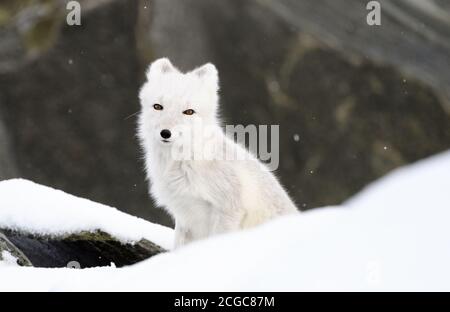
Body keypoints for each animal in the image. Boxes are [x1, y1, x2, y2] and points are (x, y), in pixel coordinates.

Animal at [139, 58, 298, 247]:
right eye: (158, 106)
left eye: (189, 112)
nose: (165, 133)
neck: (185, 162)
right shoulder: (184, 217)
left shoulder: (228, 208)